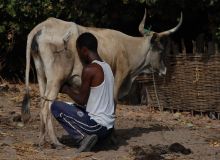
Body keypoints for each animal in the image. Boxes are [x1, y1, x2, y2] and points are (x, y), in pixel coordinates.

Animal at [21, 10, 182, 148]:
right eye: (160, 50)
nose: (164, 70)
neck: (127, 48)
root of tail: (43, 26)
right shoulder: (118, 79)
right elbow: (114, 105)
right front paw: (112, 138)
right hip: (56, 80)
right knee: (46, 107)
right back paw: (56, 142)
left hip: (42, 77)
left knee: (42, 103)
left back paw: (42, 140)